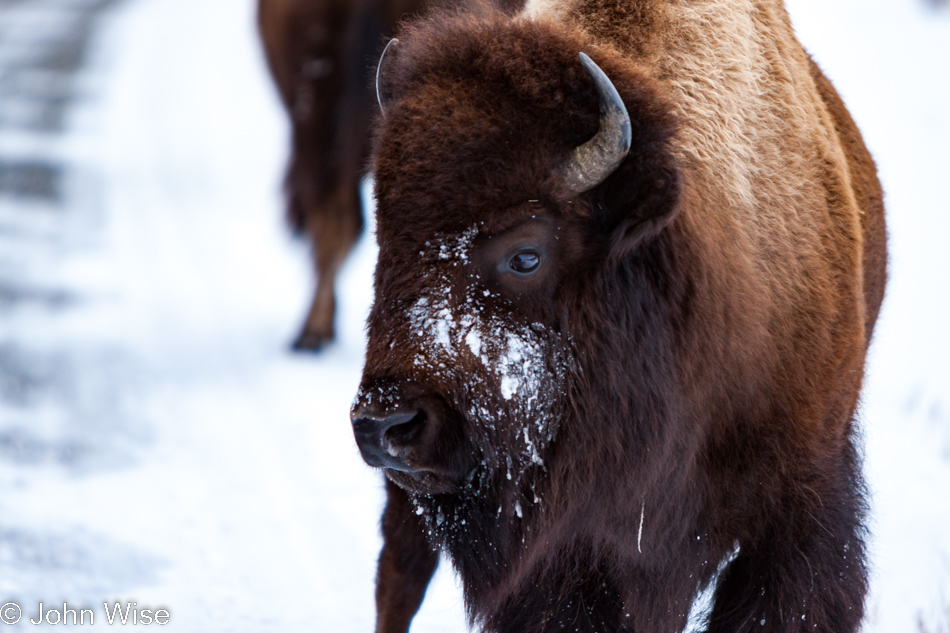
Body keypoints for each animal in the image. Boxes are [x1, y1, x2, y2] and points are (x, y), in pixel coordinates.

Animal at [352, 1, 892, 632]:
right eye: (387, 240)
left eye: (526, 254)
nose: (385, 425)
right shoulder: (569, 556)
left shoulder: (800, 506)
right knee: (399, 575)